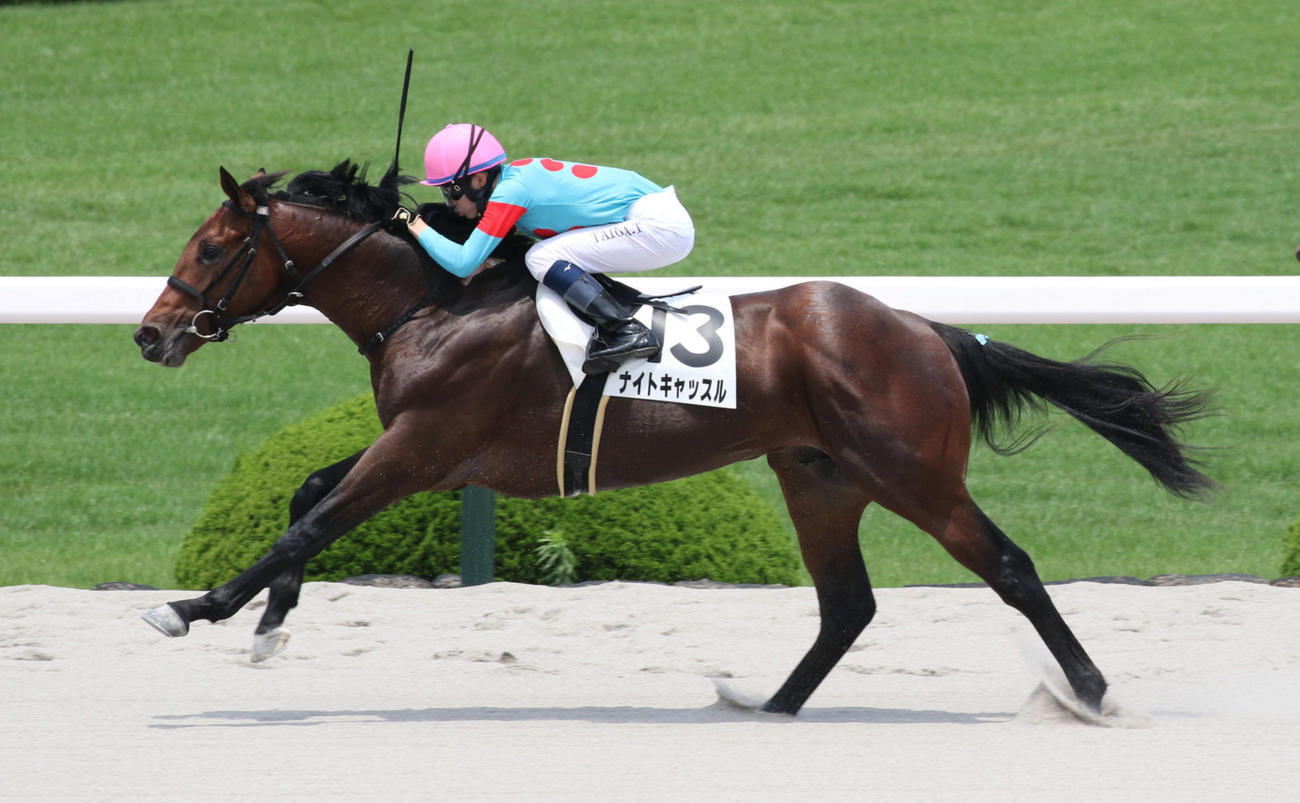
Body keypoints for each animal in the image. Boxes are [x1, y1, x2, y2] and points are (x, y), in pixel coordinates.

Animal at [133, 160, 1214, 716]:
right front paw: (269, 623)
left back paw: (1090, 691)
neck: (434, 302)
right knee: (847, 604)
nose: (151, 333)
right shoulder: (431, 453)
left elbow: (308, 521)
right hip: (820, 476)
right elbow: (305, 494)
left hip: (913, 473)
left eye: (213, 247)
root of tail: (925, 328)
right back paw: (769, 705)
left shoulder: (425, 444)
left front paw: (194, 608)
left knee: (1011, 566)